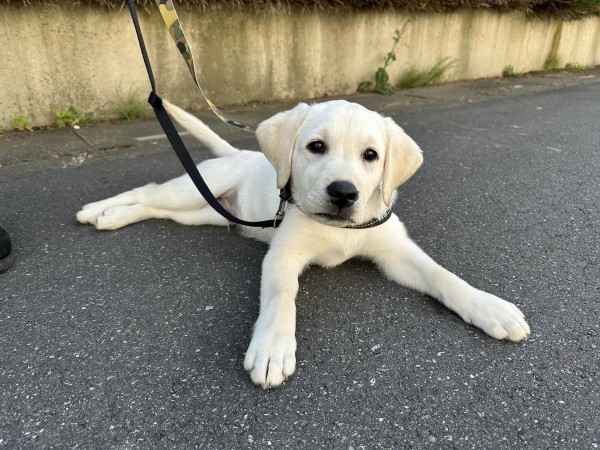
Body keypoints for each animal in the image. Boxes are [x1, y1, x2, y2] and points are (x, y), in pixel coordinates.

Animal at [76, 100, 528, 388]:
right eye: (316, 147)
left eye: (370, 155)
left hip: (206, 211)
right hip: (192, 190)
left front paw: (490, 308)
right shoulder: (283, 254)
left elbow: (442, 275)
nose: (344, 193)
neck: (338, 230)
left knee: (154, 207)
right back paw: (96, 209)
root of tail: (238, 153)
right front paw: (273, 348)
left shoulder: (397, 252)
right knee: (150, 191)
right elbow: (281, 296)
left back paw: (111, 217)